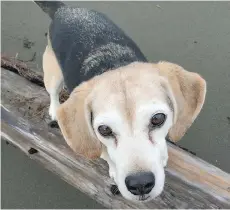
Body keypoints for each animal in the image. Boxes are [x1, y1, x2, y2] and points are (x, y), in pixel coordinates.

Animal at [34, 0, 207, 203]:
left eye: (158, 119)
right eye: (104, 130)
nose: (140, 184)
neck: (114, 64)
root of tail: (63, 9)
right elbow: (108, 157)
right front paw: (114, 170)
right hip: (52, 74)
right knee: (53, 93)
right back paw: (54, 109)